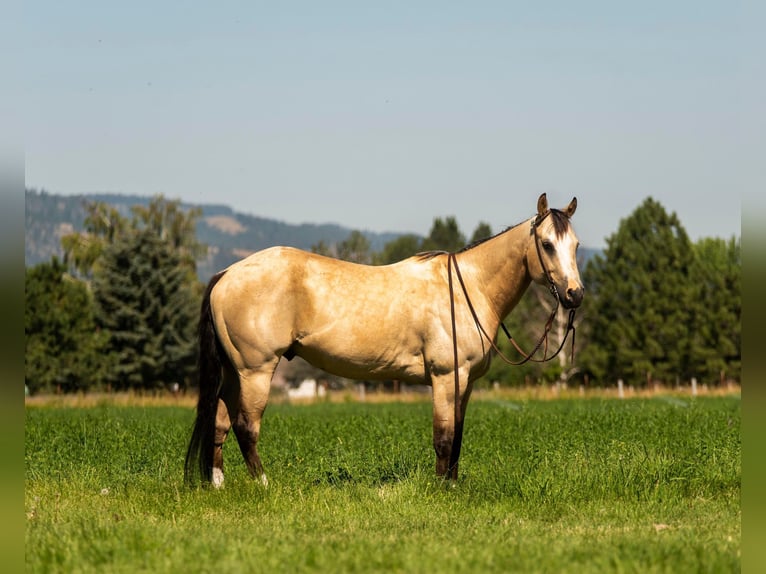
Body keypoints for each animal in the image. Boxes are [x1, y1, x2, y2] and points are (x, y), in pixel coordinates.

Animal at [184, 194, 584, 486]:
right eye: (547, 244)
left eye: (576, 245)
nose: (574, 295)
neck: (467, 288)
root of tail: (226, 274)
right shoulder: (445, 377)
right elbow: (443, 436)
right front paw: (439, 489)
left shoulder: (465, 382)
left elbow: (457, 436)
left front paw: (453, 486)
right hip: (255, 372)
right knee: (246, 427)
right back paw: (264, 485)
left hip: (234, 373)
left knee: (219, 422)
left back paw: (218, 484)